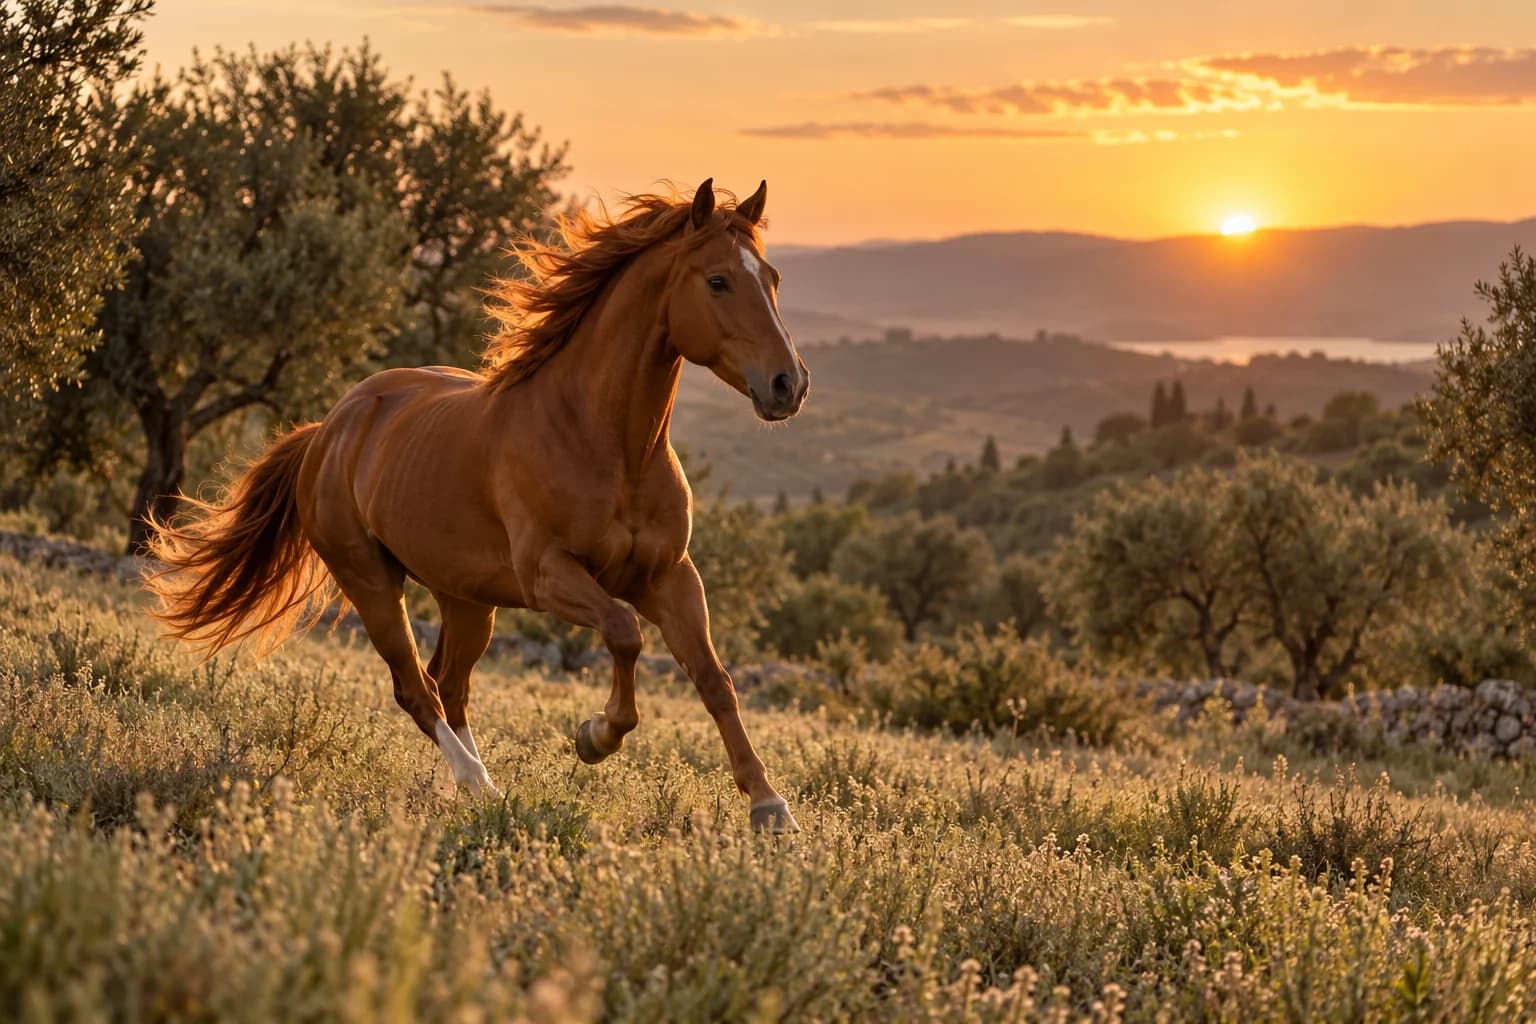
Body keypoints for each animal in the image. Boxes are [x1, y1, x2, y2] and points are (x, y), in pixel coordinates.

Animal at [144, 178, 809, 833]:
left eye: (774, 278)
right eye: (718, 281)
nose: (789, 385)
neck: (607, 443)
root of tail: (328, 429)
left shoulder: (669, 575)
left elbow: (714, 679)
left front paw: (769, 806)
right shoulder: (549, 575)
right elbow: (624, 634)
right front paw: (595, 736)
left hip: (467, 599)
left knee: (449, 685)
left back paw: (466, 789)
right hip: (371, 582)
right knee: (416, 688)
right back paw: (481, 788)